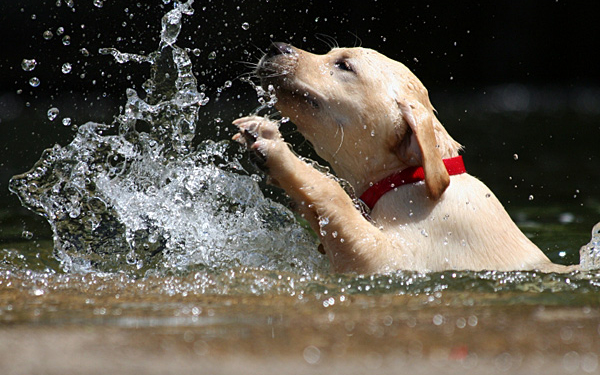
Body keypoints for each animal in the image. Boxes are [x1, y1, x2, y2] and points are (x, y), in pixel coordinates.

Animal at [233, 43, 576, 274]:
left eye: (344, 65)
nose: (275, 47)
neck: (410, 178)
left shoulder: (392, 261)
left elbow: (334, 196)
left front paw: (273, 148)